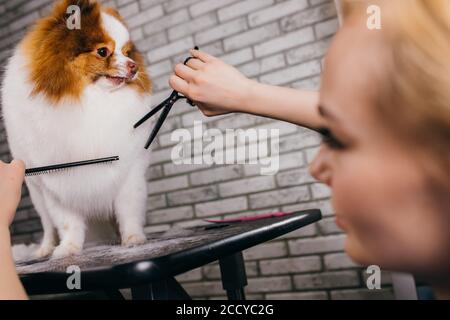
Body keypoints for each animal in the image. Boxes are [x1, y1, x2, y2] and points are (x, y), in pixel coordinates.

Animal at [1, 0, 155, 258]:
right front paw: (68, 248)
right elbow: (66, 221)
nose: (134, 66)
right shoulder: (55, 183)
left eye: (127, 52)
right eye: (102, 51)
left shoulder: (128, 171)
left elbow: (128, 209)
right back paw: (44, 249)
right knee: (47, 225)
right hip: (35, 193)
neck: (90, 100)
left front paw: (133, 238)